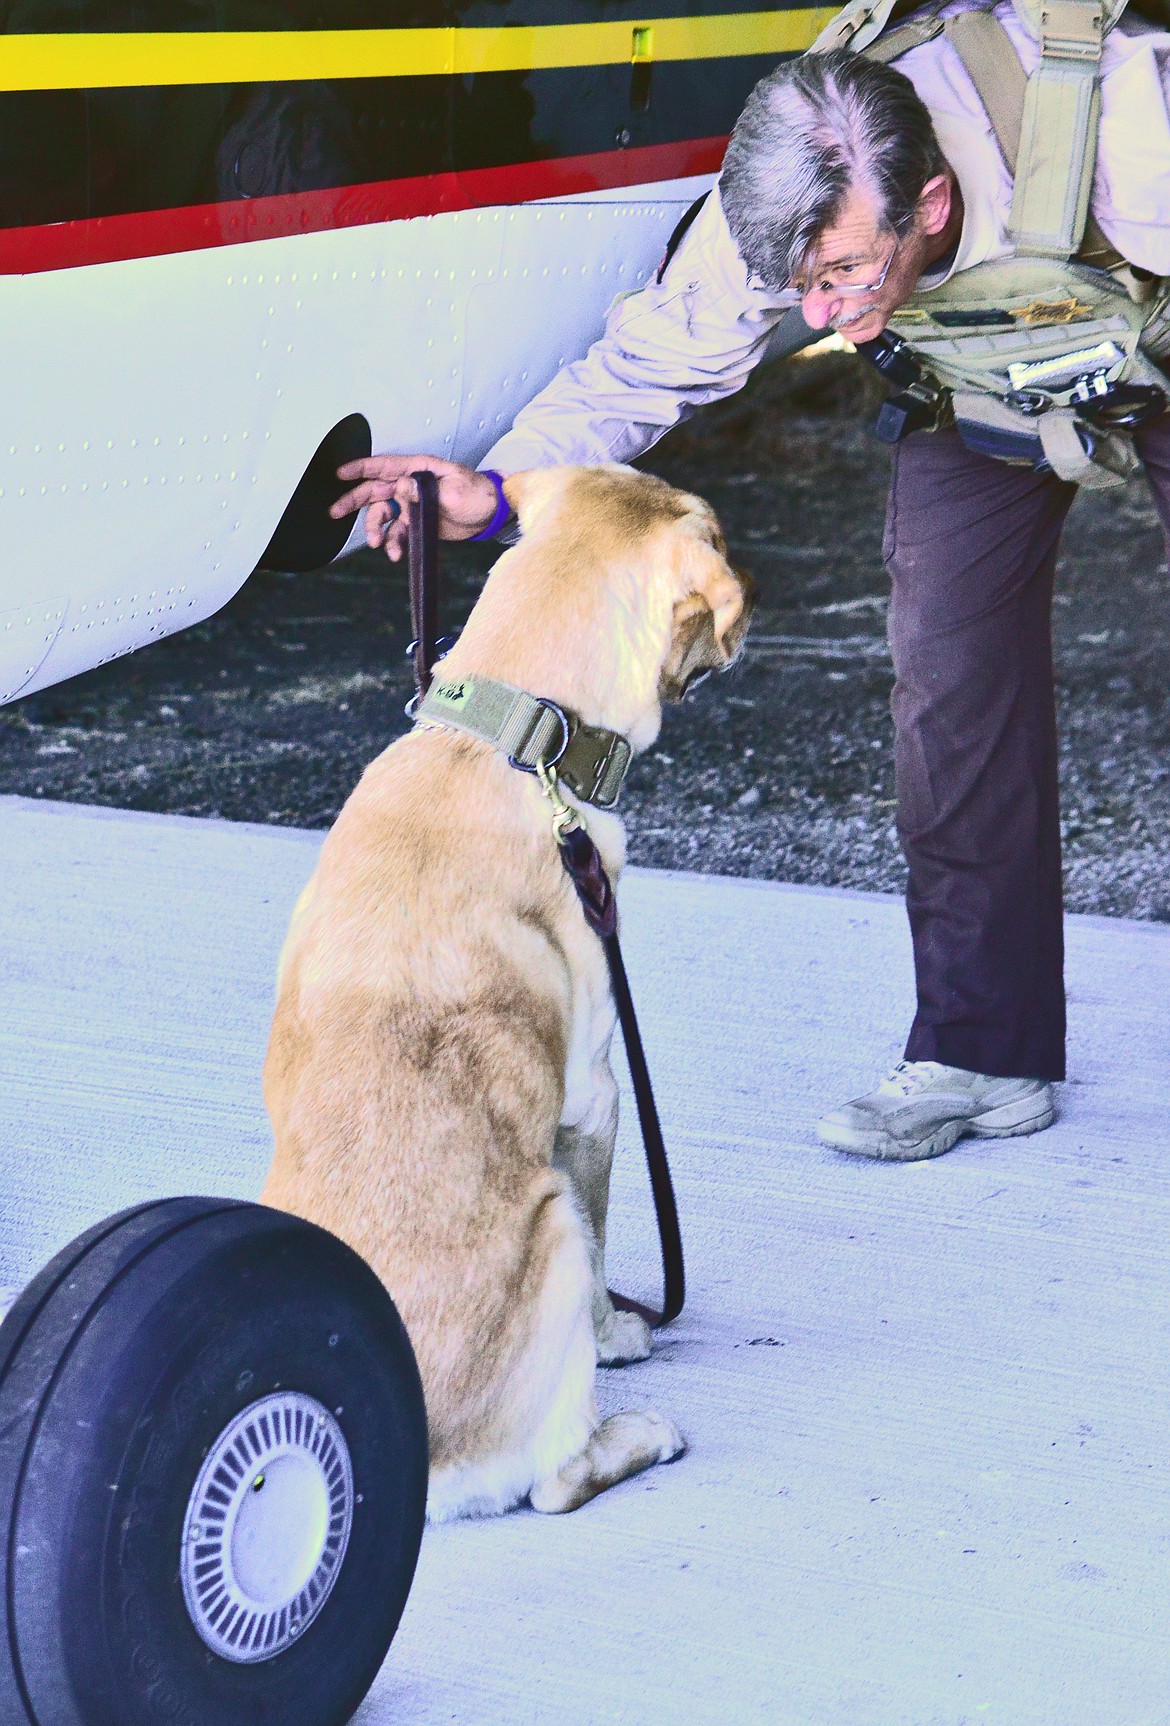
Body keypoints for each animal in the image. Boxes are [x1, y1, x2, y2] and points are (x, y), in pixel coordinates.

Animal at [262, 466, 755, 1518]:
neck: (514, 743)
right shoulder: (595, 1097)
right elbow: (611, 1249)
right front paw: (619, 1336)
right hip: (552, 1223)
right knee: (558, 1483)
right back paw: (639, 1434)